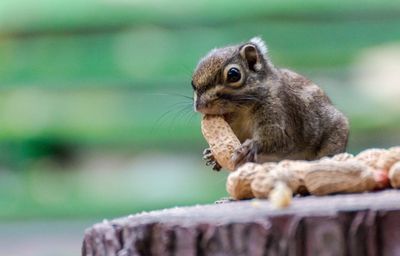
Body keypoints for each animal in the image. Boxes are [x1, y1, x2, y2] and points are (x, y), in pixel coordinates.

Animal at [192, 37, 348, 171]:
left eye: (233, 75)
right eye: (193, 83)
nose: (200, 106)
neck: (241, 110)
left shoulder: (279, 110)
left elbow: (278, 137)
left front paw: (251, 147)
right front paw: (212, 155)